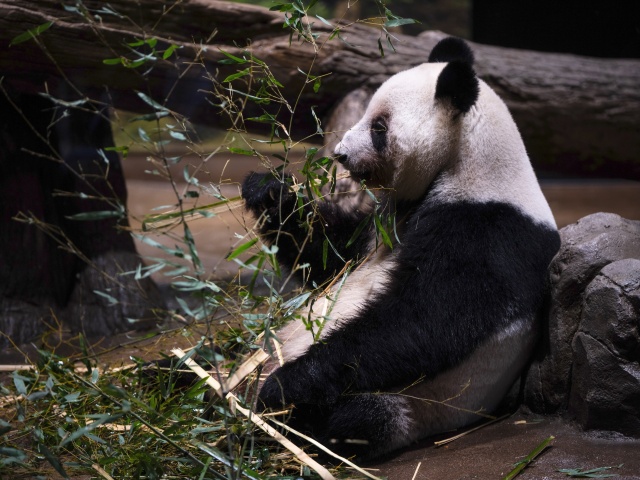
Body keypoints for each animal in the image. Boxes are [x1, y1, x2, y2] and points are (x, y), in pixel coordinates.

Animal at [241, 37, 561, 460]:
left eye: (379, 127)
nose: (340, 153)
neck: (469, 163)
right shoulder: (382, 222)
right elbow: (329, 256)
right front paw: (270, 193)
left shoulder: (488, 230)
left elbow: (425, 321)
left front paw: (284, 385)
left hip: (406, 407)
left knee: (356, 418)